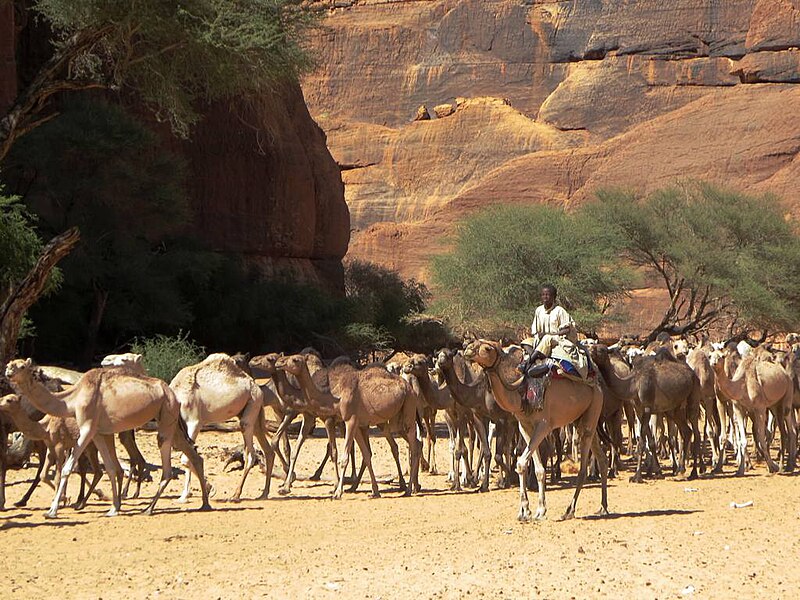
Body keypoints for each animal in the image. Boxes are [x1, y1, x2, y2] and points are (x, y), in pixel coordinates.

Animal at [3, 358, 209, 516]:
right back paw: (205, 504)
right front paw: (113, 508)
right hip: (170, 420)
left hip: (166, 415)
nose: (8, 372)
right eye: (10, 364)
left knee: (167, 465)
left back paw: (149, 509)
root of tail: (172, 393)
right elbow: (110, 468)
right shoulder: (99, 433)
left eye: (22, 366)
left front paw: (52, 510)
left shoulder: (87, 427)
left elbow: (68, 468)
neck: (72, 398)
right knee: (193, 454)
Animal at [169, 354, 276, 504]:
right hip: (251, 415)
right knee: (268, 450)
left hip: (252, 406)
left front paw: (205, 490)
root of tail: (256, 386)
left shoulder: (194, 422)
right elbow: (189, 456)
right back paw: (264, 494)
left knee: (250, 454)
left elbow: (186, 458)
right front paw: (186, 495)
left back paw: (236, 495)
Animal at [276, 354, 418, 500]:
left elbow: (344, 458)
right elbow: (366, 454)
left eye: (295, 360)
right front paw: (375, 491)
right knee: (410, 443)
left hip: (409, 406)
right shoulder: (356, 423)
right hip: (396, 419)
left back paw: (409, 490)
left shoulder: (350, 420)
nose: (279, 362)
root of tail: (409, 387)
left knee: (414, 446)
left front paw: (338, 492)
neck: (336, 398)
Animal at [462, 340, 608, 524]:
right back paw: (603, 507)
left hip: (594, 407)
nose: (467, 349)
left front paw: (534, 511)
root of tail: (597, 382)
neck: (521, 392)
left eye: (487, 348)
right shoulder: (524, 426)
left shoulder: (543, 425)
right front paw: (529, 511)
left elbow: (522, 462)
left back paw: (569, 510)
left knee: (582, 468)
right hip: (582, 419)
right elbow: (536, 469)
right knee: (601, 458)